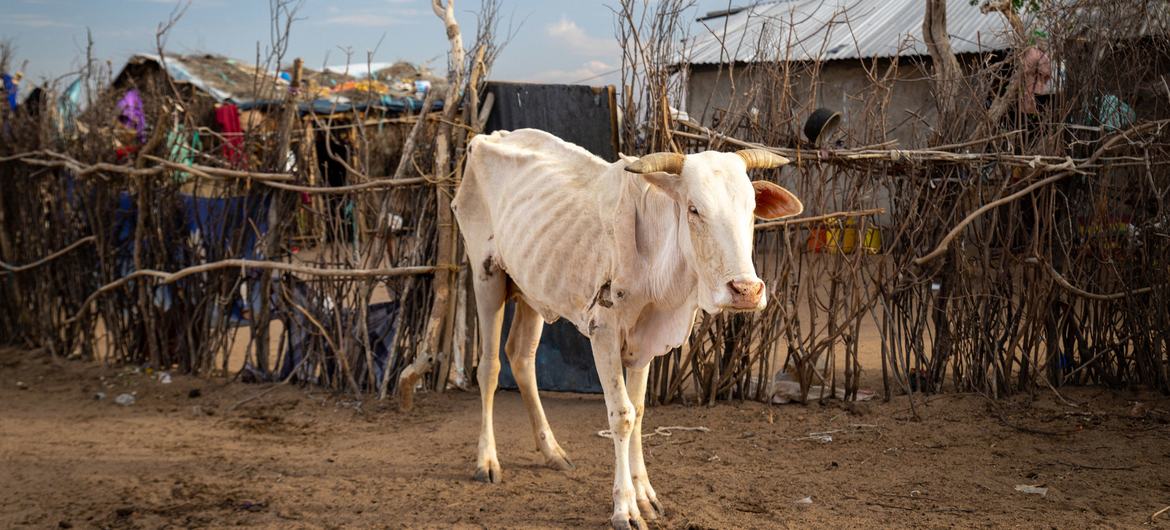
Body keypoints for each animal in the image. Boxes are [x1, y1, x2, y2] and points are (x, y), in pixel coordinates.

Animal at [449, 129, 804, 528]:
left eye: (751, 209)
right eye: (694, 209)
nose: (746, 290)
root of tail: (489, 136)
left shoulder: (645, 344)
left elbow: (639, 411)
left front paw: (646, 495)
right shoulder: (602, 332)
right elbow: (621, 415)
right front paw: (625, 507)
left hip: (532, 289)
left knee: (522, 359)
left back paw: (552, 451)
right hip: (486, 277)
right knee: (490, 367)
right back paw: (487, 460)